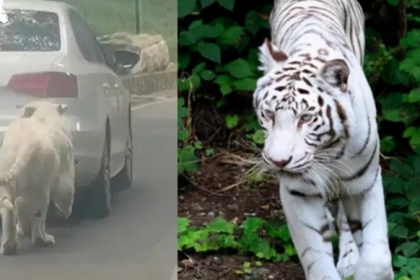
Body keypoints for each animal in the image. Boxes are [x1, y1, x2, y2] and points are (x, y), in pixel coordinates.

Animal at [0, 100, 75, 254]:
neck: (44, 114)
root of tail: (24, 146)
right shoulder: (64, 152)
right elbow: (65, 185)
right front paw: (65, 212)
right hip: (40, 166)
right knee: (39, 204)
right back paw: (44, 239)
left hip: (6, 158)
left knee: (8, 199)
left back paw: (8, 246)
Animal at [253, 0, 394, 280]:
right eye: (269, 114)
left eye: (305, 118)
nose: (278, 161)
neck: (328, 149)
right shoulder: (298, 190)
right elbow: (315, 256)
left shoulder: (366, 181)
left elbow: (376, 258)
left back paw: (349, 259)